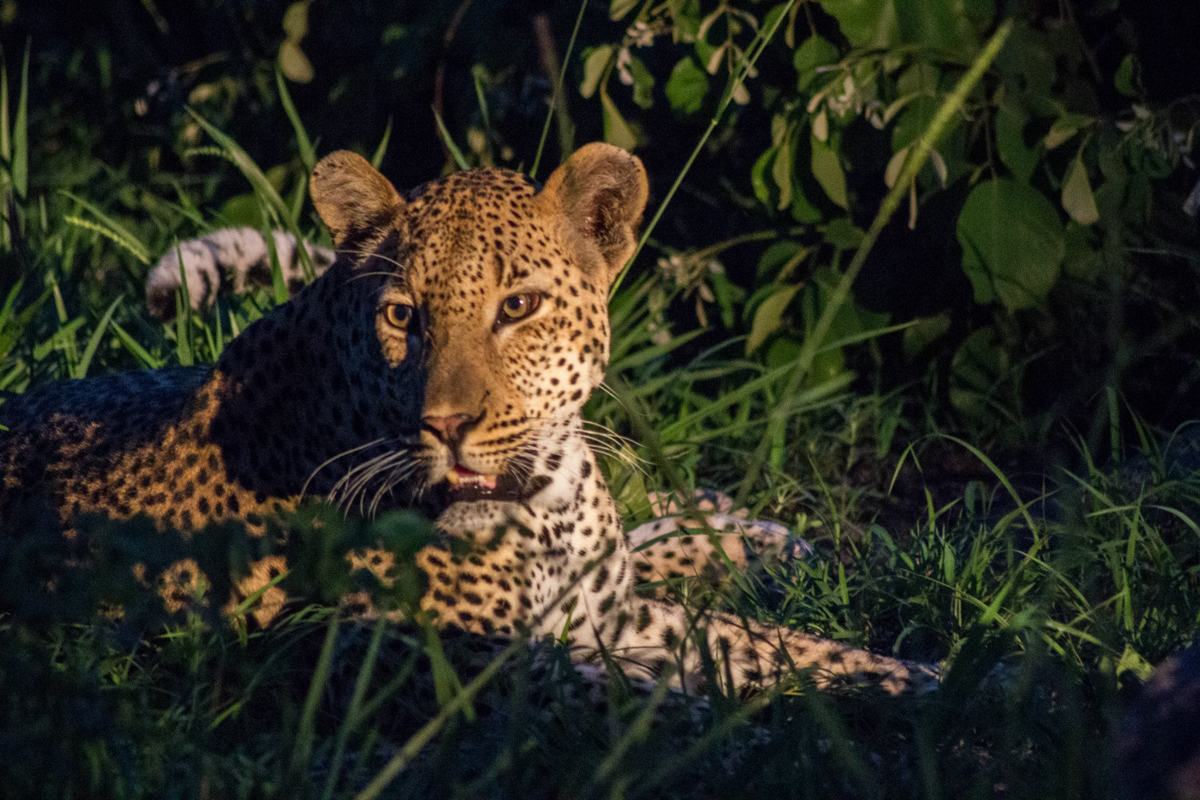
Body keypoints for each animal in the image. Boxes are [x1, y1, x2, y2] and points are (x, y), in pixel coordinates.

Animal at [0, 143, 939, 695]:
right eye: (403, 316)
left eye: (517, 307)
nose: (448, 426)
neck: (549, 507)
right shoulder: (412, 654)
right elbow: (649, 689)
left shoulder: (610, 614)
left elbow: (773, 645)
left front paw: (928, 677)